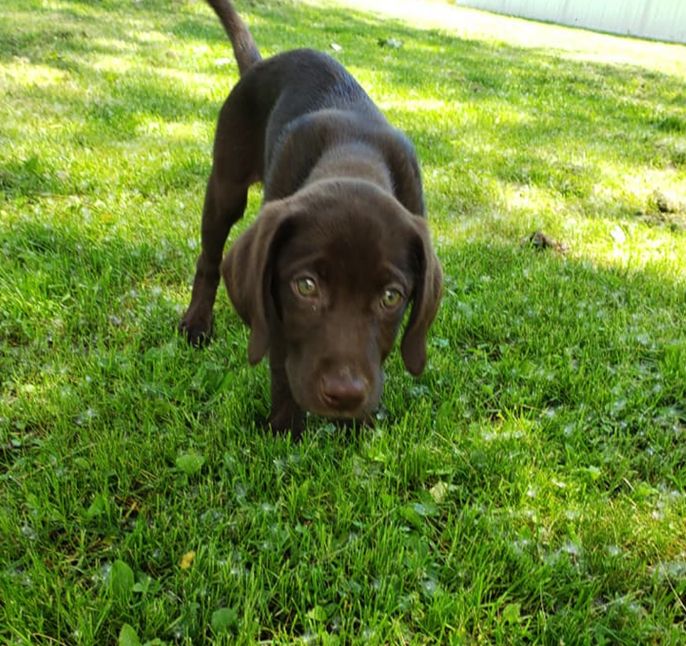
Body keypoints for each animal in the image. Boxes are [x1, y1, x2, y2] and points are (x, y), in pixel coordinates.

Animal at [179, 0, 443, 436]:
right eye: (306, 287)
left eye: (392, 297)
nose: (345, 395)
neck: (354, 150)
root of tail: (260, 63)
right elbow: (281, 362)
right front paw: (285, 428)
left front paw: (360, 424)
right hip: (227, 185)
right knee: (209, 259)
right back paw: (197, 322)